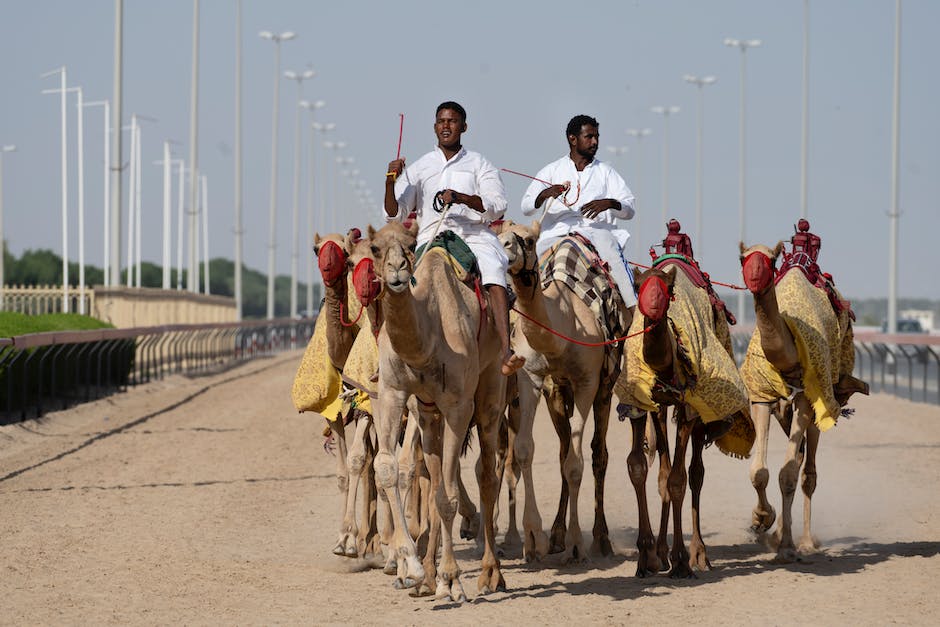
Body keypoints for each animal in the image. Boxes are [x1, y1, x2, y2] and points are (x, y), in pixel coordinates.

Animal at [364, 221, 506, 604]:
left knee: (486, 474)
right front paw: (411, 568)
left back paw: (490, 574)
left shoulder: (458, 406)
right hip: (427, 411)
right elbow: (389, 468)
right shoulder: (393, 392)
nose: (398, 272)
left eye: (410, 244)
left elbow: (448, 496)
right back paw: (429, 576)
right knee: (434, 469)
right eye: (375, 248)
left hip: (489, 387)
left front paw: (452, 579)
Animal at [496, 221, 628, 564]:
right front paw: (533, 538)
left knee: (597, 454)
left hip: (605, 388)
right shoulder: (531, 377)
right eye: (498, 234)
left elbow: (576, 465)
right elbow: (525, 451)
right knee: (563, 448)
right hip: (557, 392)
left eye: (529, 240)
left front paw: (577, 544)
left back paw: (600, 540)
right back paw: (555, 535)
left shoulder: (587, 382)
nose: (504, 251)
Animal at [620, 258, 752, 580]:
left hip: (700, 417)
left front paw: (680, 561)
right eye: (638, 285)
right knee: (666, 472)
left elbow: (678, 479)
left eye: (667, 289)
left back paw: (698, 554)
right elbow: (643, 468)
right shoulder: (645, 404)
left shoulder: (688, 408)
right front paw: (648, 557)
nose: (653, 305)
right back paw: (662, 553)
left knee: (696, 473)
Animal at [740, 223, 868, 560]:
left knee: (807, 473)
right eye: (743, 257)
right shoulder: (762, 398)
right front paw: (762, 521)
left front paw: (785, 543)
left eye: (771, 259)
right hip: (786, 414)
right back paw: (779, 534)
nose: (754, 278)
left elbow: (787, 474)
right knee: (796, 463)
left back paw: (806, 541)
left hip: (821, 407)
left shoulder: (807, 401)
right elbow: (760, 471)